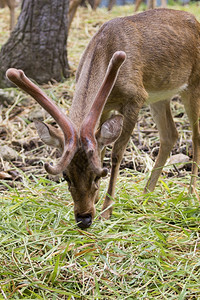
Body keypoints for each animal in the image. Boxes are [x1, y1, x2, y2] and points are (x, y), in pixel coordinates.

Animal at [6, 8, 200, 230]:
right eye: (66, 176)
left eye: (99, 175)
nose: (84, 218)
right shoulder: (105, 107)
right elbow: (102, 148)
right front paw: (98, 200)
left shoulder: (136, 97)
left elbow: (116, 154)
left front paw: (107, 210)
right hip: (160, 96)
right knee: (170, 135)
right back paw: (145, 194)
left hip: (193, 84)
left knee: (195, 136)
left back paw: (190, 193)